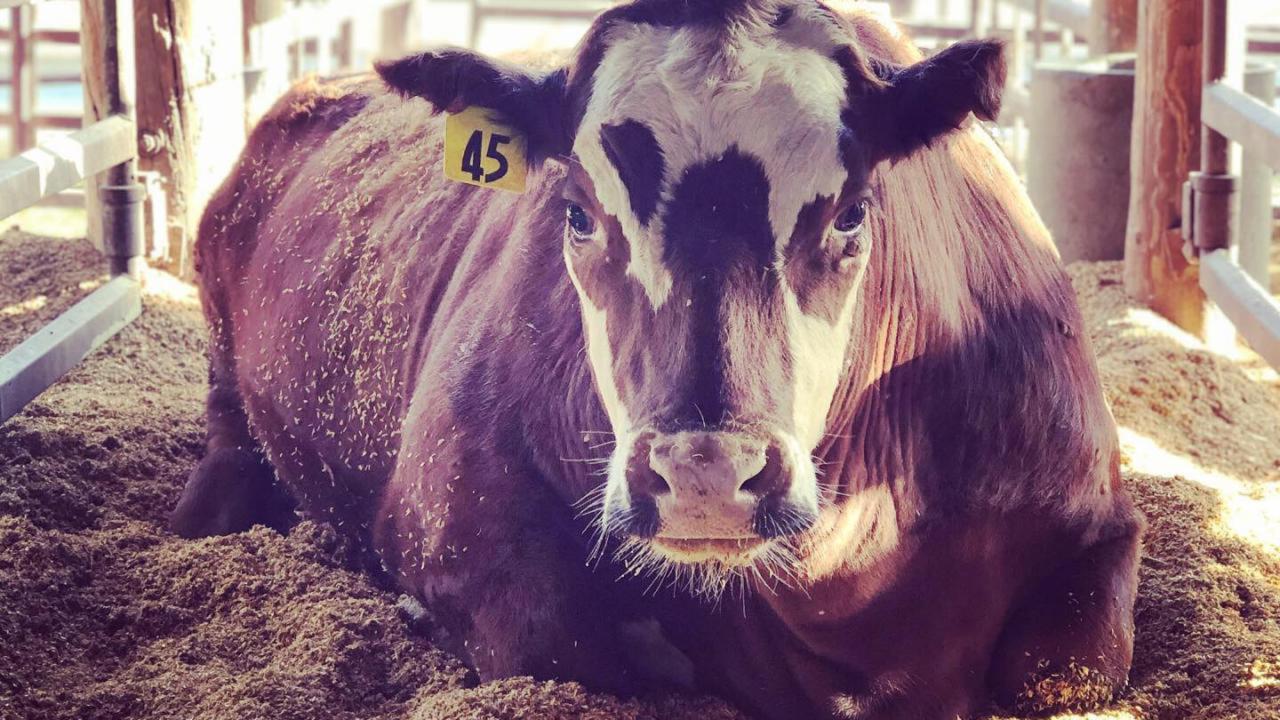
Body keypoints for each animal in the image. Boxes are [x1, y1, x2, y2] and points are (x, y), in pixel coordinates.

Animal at [170, 2, 1141, 712]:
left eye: (853, 212)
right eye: (576, 212)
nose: (706, 473)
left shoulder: (1095, 523)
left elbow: (1068, 672)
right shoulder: (451, 522)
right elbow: (561, 643)